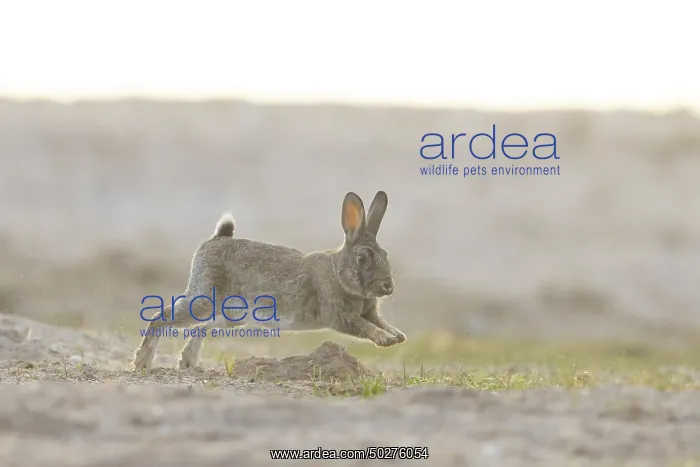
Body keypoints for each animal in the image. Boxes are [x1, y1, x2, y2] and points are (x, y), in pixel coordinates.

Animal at [132, 190, 406, 371]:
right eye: (362, 258)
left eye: (385, 255)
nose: (388, 286)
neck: (338, 272)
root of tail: (215, 240)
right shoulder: (338, 314)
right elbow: (364, 327)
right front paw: (385, 339)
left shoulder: (369, 312)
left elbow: (379, 321)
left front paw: (397, 336)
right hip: (205, 300)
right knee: (161, 318)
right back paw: (143, 362)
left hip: (233, 315)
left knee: (202, 327)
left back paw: (188, 363)